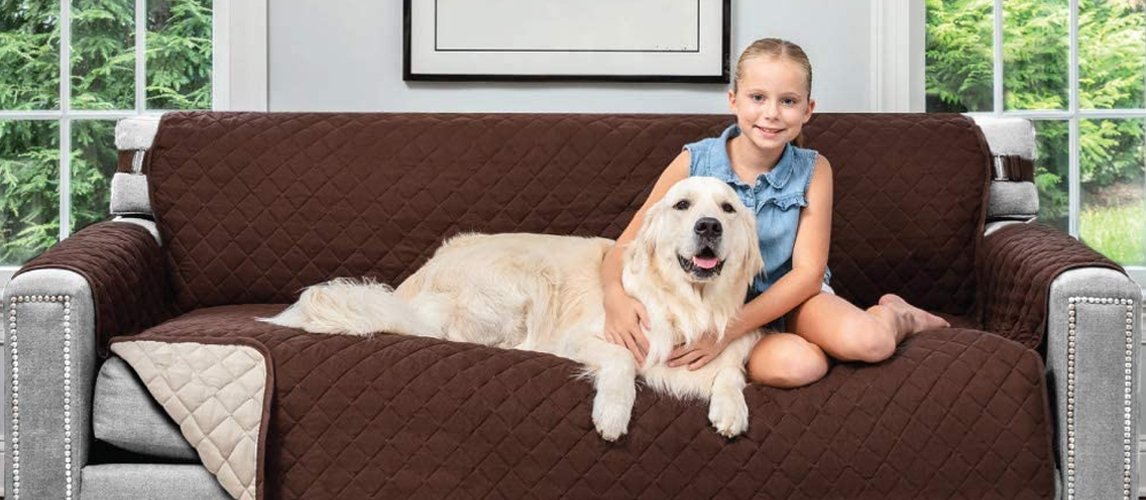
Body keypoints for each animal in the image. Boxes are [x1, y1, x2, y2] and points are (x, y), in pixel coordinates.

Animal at [263, 176, 765, 440]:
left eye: (728, 208)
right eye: (683, 205)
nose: (709, 226)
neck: (687, 304)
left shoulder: (730, 346)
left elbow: (731, 372)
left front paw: (732, 409)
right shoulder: (587, 337)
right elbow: (622, 359)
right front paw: (612, 413)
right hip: (524, 282)